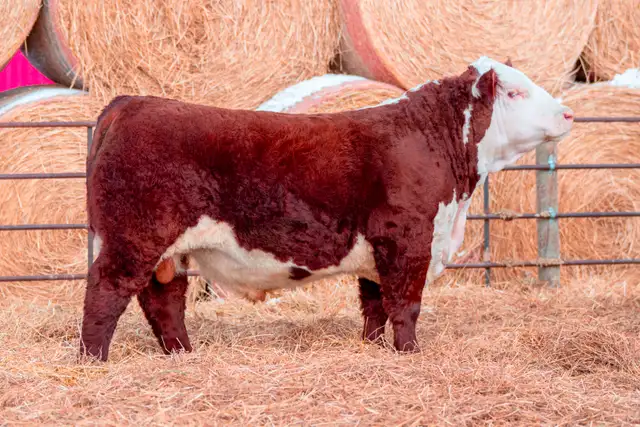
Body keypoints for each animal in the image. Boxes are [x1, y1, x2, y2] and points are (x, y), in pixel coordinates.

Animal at [81, 56, 574, 361]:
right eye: (515, 93)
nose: (568, 113)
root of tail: (130, 103)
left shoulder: (379, 249)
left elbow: (375, 304)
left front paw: (374, 347)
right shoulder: (408, 238)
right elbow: (405, 304)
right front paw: (410, 352)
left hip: (167, 250)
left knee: (164, 299)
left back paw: (183, 353)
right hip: (134, 236)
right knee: (106, 290)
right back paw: (93, 359)